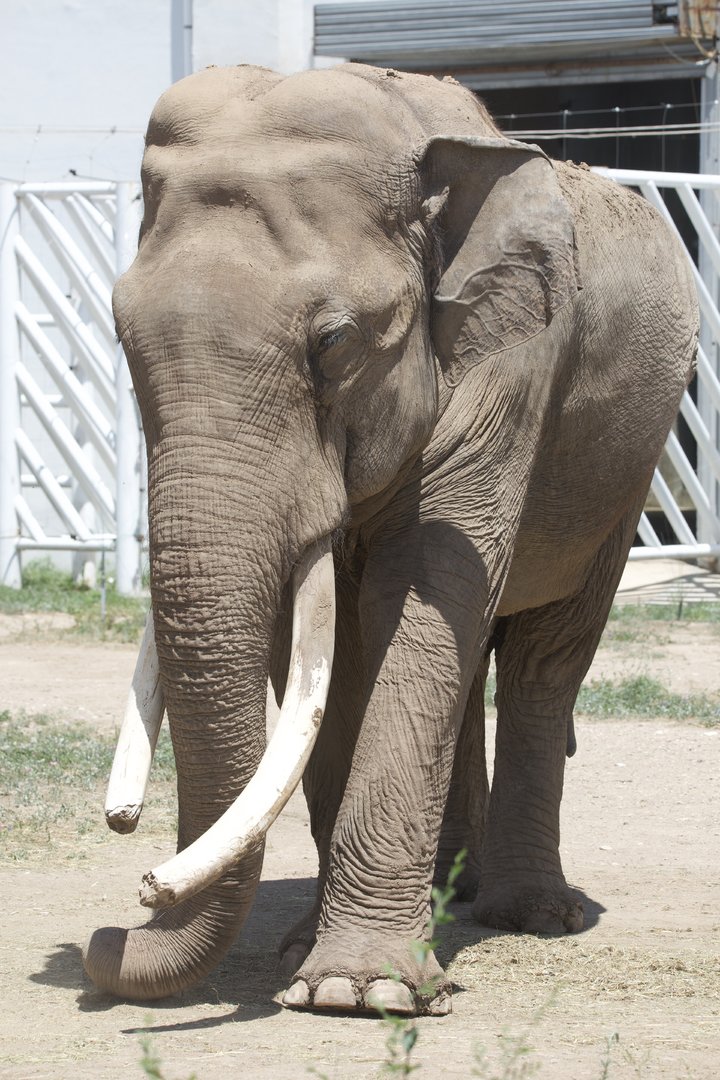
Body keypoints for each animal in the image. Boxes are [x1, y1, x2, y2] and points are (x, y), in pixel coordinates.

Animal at [84, 62, 698, 1016]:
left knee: (543, 661)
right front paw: (314, 956)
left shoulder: (511, 361)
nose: (118, 926)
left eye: (333, 342)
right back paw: (450, 893)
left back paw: (529, 914)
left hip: (625, 471)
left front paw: (357, 992)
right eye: (121, 334)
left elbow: (418, 592)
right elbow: (327, 642)